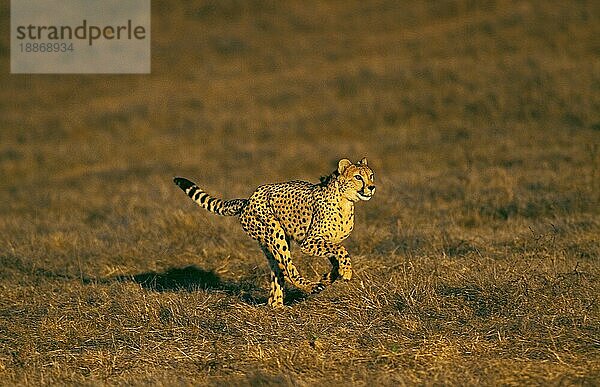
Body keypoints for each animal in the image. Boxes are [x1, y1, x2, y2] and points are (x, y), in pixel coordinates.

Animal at [171, 158, 376, 310]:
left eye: (371, 175)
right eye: (358, 177)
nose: (372, 187)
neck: (346, 201)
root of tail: (248, 200)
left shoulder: (326, 242)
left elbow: (335, 258)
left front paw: (331, 276)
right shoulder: (310, 242)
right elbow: (341, 250)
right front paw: (346, 272)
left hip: (270, 243)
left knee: (278, 271)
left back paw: (276, 305)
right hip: (276, 234)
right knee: (289, 269)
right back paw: (310, 287)